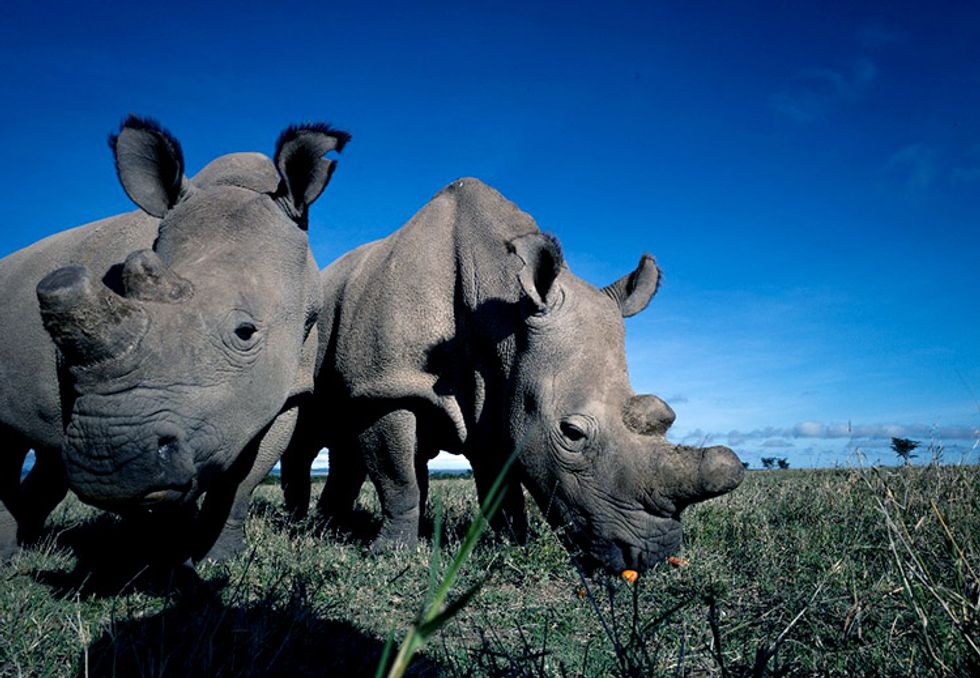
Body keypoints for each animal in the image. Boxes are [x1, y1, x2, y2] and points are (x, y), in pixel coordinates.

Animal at [0, 115, 350, 564]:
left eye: (245, 333)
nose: (108, 460)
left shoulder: (289, 388)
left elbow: (241, 482)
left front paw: (217, 558)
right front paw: (161, 556)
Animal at [280, 179, 740, 572]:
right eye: (572, 433)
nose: (653, 555)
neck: (504, 309)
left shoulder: (498, 393)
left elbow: (500, 483)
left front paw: (512, 543)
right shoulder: (388, 386)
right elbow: (399, 479)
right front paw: (390, 555)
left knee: (344, 441)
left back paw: (329, 525)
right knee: (305, 433)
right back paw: (297, 525)